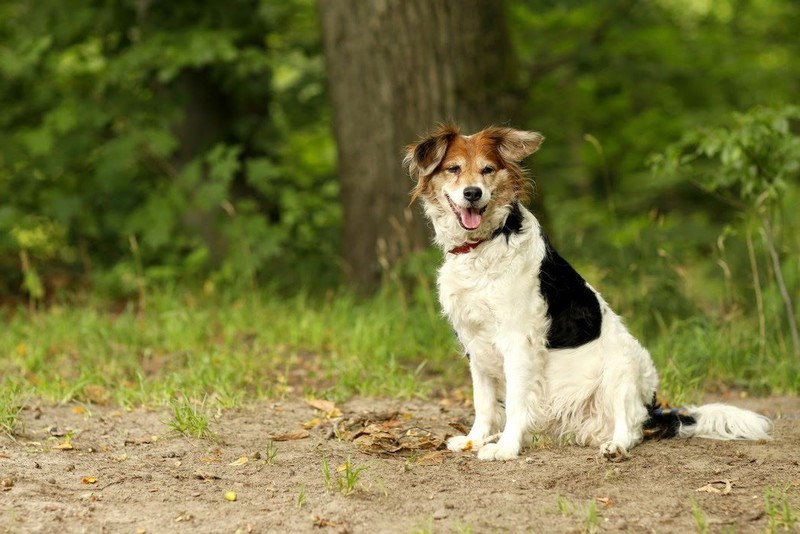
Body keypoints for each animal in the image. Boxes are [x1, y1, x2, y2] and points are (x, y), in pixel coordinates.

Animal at [404, 124, 772, 460]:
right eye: (453, 169)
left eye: (487, 170)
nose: (473, 193)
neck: (483, 244)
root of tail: (653, 409)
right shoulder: (474, 341)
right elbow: (483, 402)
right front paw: (475, 439)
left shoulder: (518, 340)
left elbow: (517, 402)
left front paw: (507, 448)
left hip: (623, 370)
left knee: (631, 429)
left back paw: (615, 447)